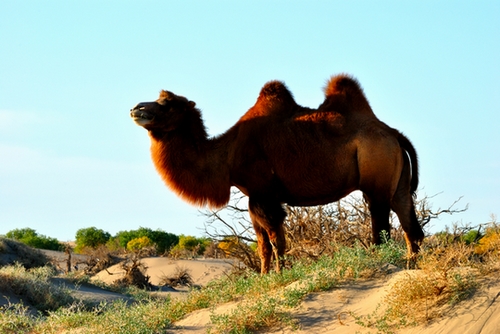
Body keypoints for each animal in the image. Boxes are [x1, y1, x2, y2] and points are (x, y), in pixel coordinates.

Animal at [131, 75, 424, 274]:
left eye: (168, 104)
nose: (137, 109)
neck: (227, 154)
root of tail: (394, 134)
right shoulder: (254, 198)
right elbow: (262, 245)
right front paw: (262, 278)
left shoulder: (264, 193)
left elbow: (276, 240)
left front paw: (281, 275)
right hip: (398, 181)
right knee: (410, 225)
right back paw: (412, 265)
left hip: (376, 175)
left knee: (381, 225)